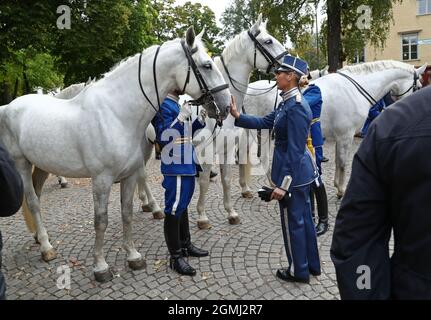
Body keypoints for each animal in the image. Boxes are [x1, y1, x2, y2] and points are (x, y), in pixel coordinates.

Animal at [0, 28, 233, 282]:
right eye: (207, 65)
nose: (226, 105)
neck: (116, 113)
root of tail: (9, 106)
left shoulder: (129, 176)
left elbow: (126, 213)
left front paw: (133, 256)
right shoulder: (101, 180)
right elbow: (101, 221)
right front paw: (100, 266)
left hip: (42, 165)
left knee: (38, 195)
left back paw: (40, 237)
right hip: (21, 164)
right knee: (32, 201)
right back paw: (46, 248)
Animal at [137, 15, 288, 229]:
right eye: (268, 41)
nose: (290, 65)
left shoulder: (227, 148)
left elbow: (226, 180)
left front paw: (231, 212)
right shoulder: (207, 151)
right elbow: (204, 182)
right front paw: (202, 217)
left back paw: (146, 204)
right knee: (142, 175)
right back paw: (155, 207)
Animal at [243, 60, 428, 198]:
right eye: (419, 86)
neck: (354, 90)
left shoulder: (341, 137)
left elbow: (339, 161)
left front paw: (337, 185)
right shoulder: (346, 135)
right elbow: (343, 163)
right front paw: (341, 190)